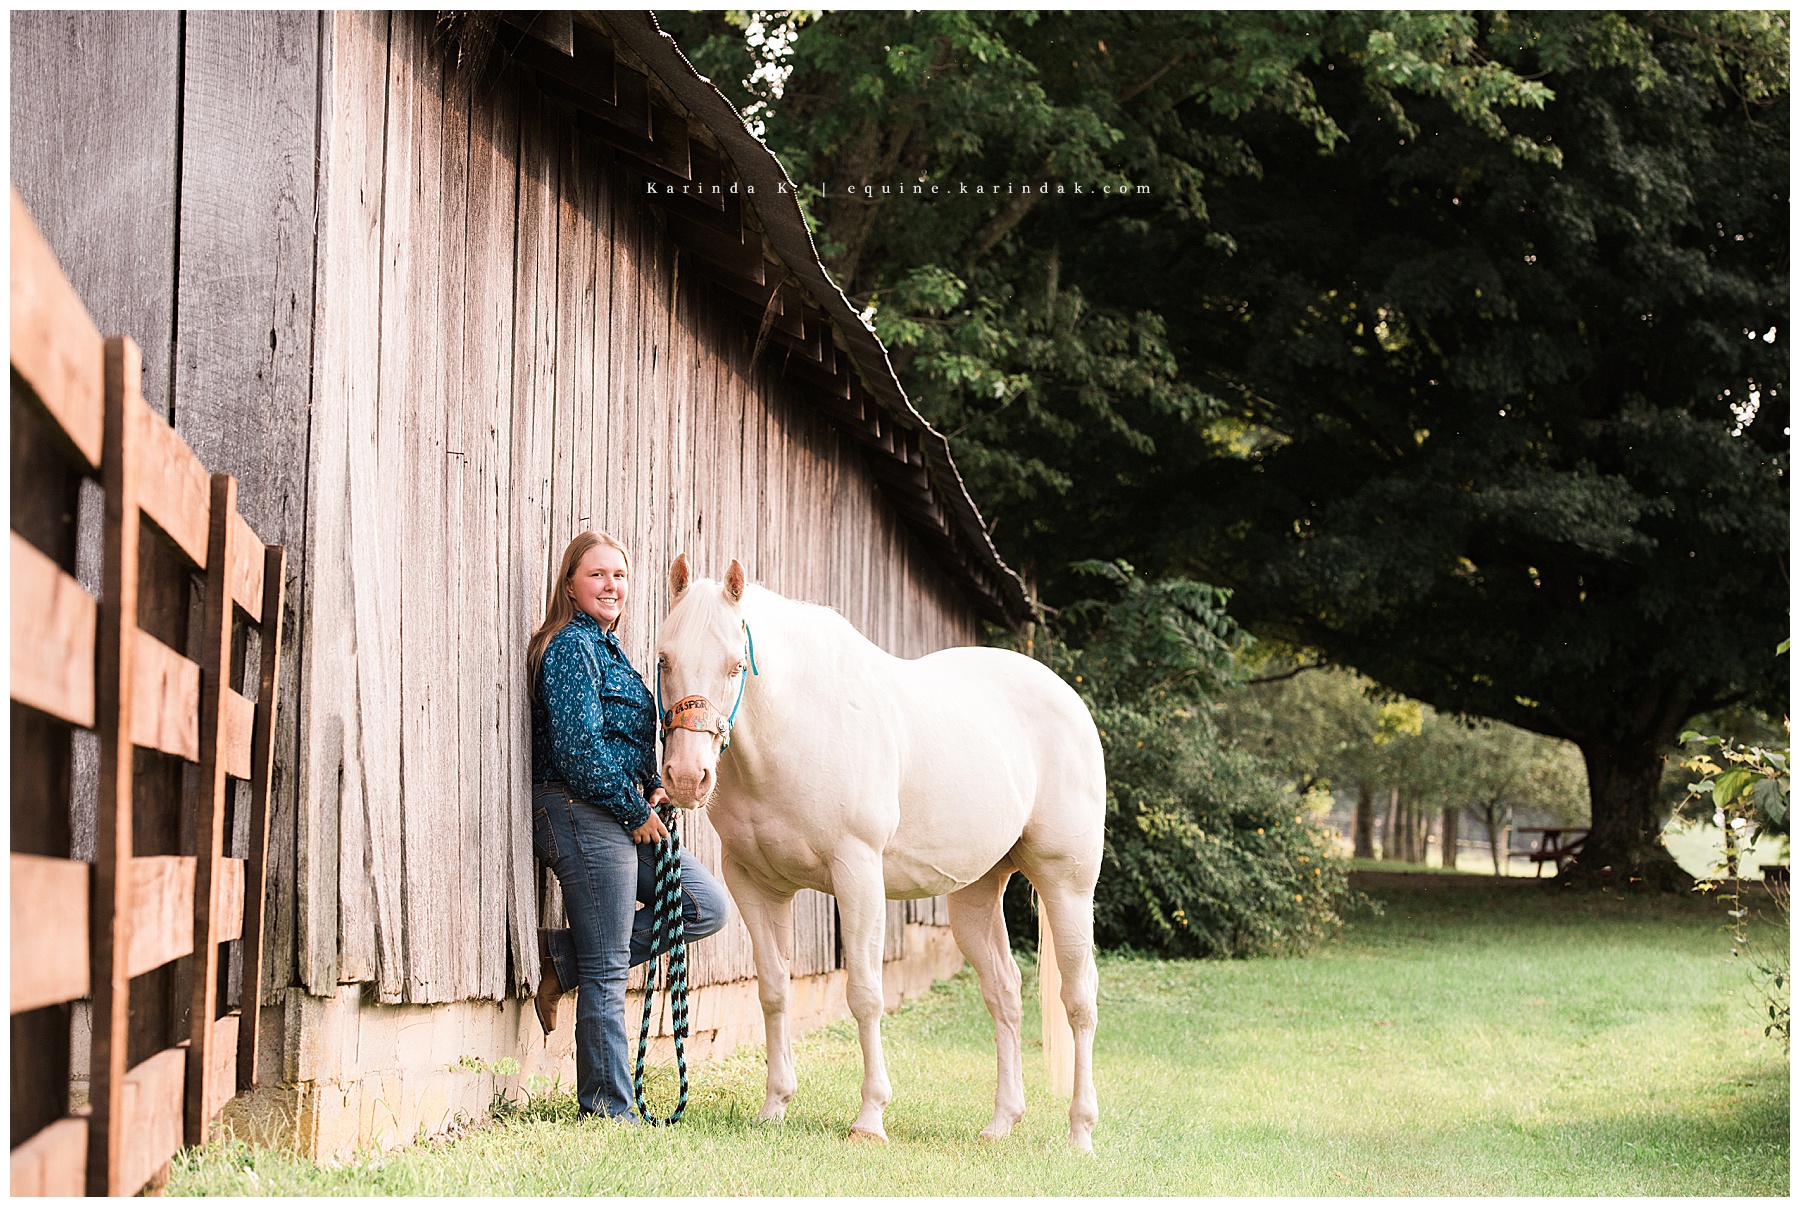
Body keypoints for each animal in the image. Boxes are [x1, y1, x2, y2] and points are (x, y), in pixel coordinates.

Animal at [654, 555, 1106, 1151]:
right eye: (664, 659)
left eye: (734, 666)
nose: (687, 778)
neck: (800, 726)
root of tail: (1071, 701)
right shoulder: (755, 882)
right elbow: (773, 990)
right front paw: (775, 1106)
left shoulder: (858, 874)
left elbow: (865, 994)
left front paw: (869, 1119)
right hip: (977, 895)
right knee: (1005, 992)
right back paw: (1001, 1123)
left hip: (1067, 886)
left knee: (1079, 1001)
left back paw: (1080, 1132)